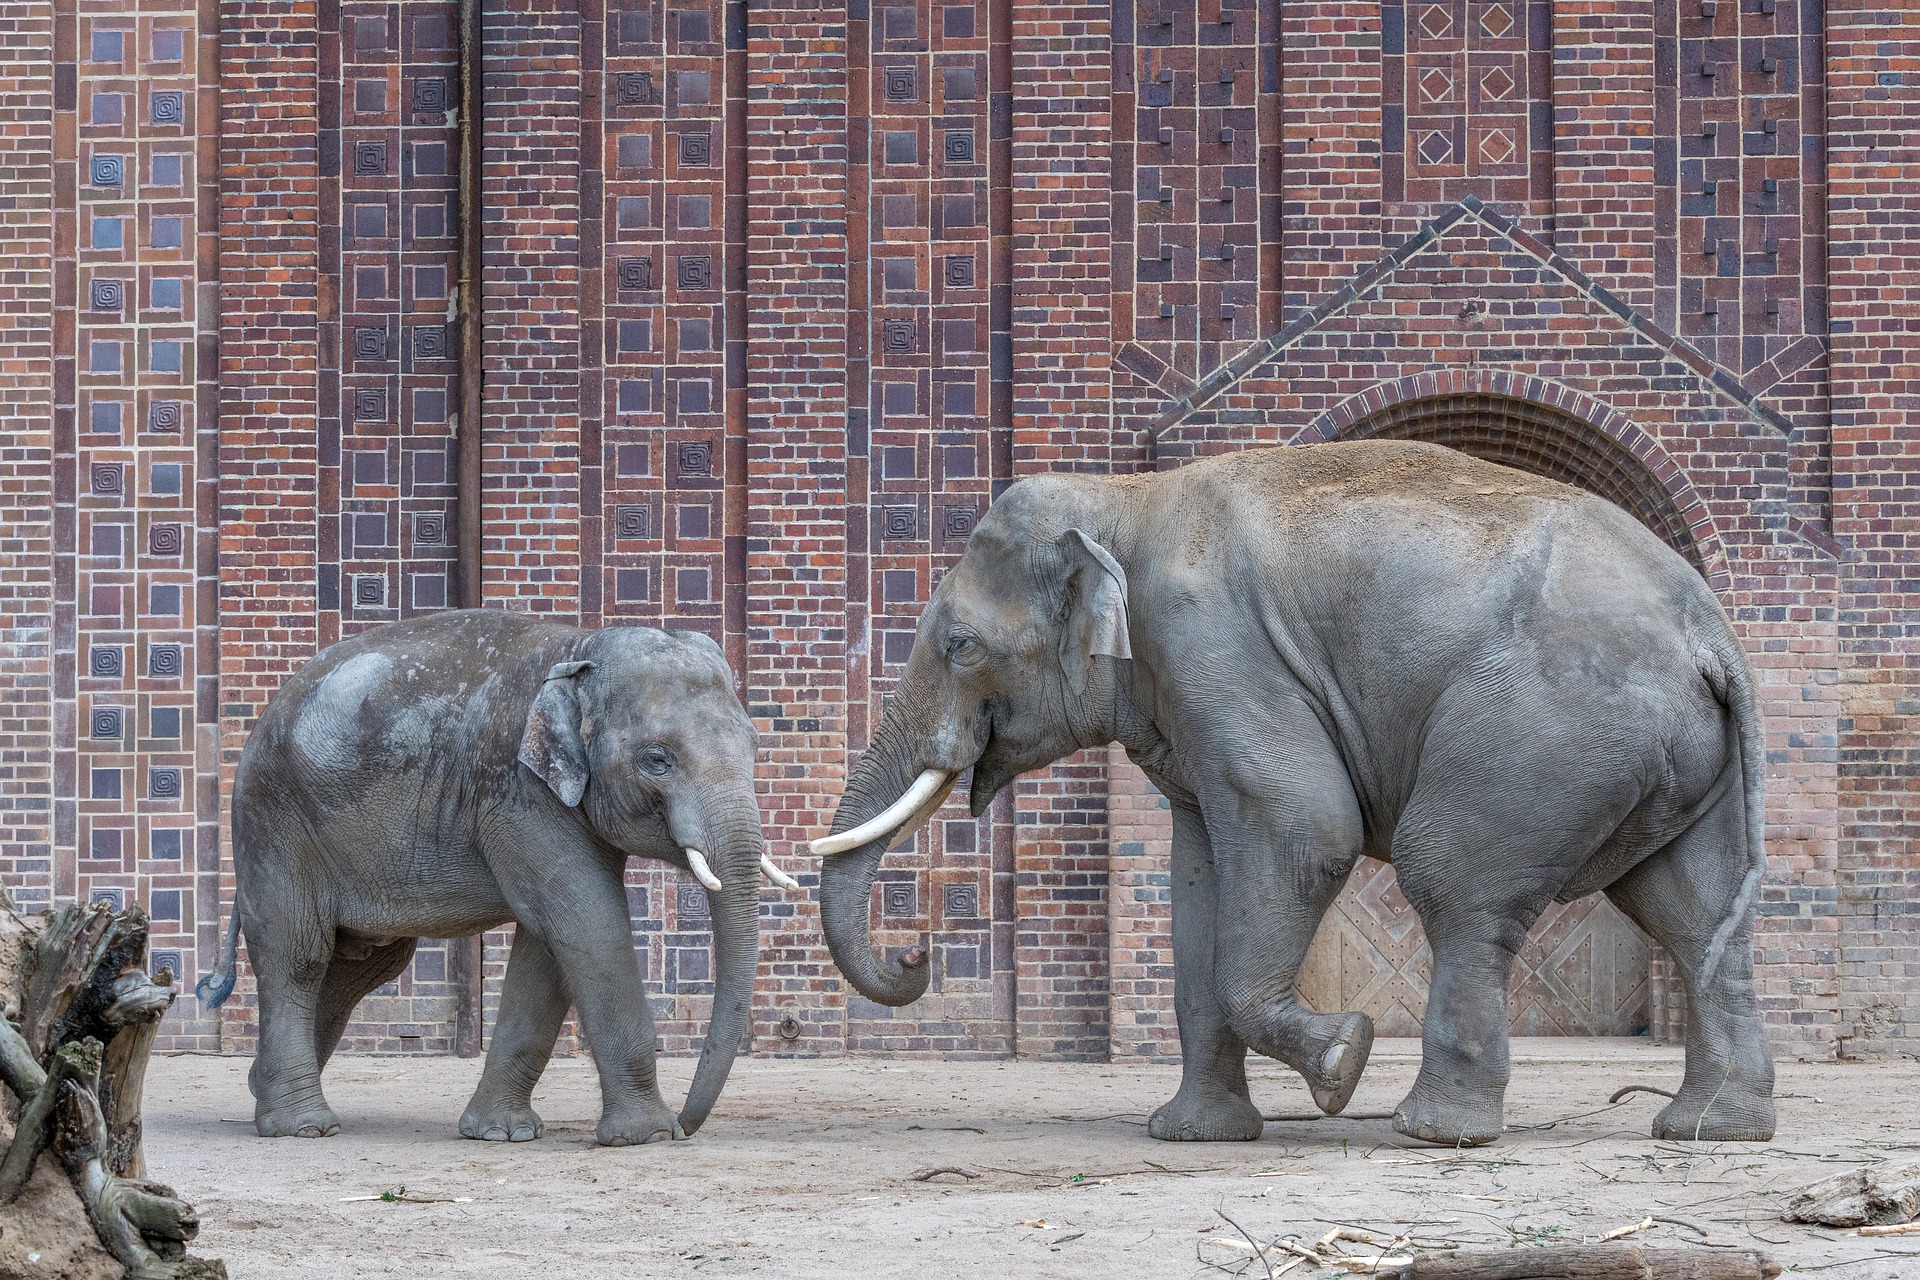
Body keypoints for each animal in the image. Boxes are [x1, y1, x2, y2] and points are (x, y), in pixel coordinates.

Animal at [198, 610, 791, 1143]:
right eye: (657, 759)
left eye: (756, 746)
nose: (690, 1126)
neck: (579, 646)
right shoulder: (516, 790)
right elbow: (587, 922)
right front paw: (647, 1136)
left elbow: (549, 946)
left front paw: (502, 1133)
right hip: (272, 821)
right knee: (299, 955)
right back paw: (302, 1126)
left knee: (361, 964)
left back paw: (260, 1088)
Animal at [817, 445, 1774, 1143]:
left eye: (960, 646)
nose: (917, 953)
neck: (1125, 498)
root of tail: (1711, 632)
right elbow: (1199, 884)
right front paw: (1193, 1135)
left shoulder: (1214, 647)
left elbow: (1307, 827)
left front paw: (1341, 1063)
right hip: (1673, 757)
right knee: (1691, 911)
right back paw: (1710, 1129)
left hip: (1545, 728)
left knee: (1454, 881)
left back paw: (1434, 1132)